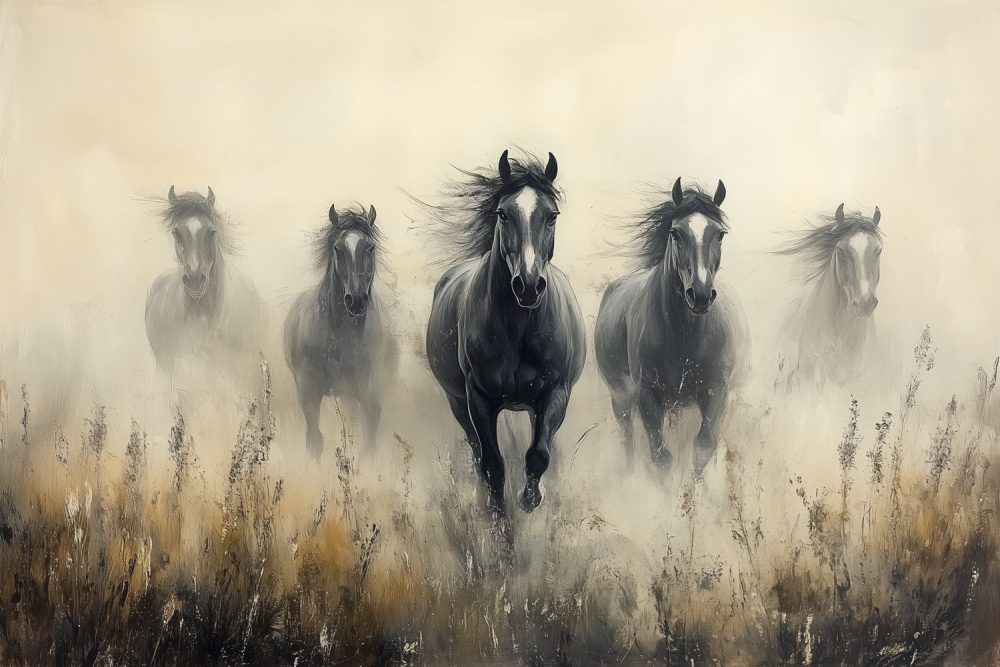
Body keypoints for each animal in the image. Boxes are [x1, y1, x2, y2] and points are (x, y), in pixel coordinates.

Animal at [283, 203, 397, 458]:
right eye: (338, 248)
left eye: (370, 248)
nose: (356, 301)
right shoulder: (309, 392)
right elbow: (314, 439)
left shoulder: (366, 388)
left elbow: (369, 435)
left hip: (349, 393)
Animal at [425, 150, 586, 518]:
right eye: (503, 214)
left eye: (551, 216)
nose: (528, 286)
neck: (518, 329)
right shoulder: (478, 399)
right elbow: (492, 465)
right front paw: (498, 516)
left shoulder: (555, 393)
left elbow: (538, 454)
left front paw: (531, 499)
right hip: (457, 403)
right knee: (476, 451)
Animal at [595, 177, 745, 476]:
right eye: (676, 233)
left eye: (719, 234)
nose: (700, 295)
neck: (684, 338)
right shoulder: (647, 396)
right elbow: (661, 457)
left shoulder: (716, 391)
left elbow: (703, 447)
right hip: (621, 397)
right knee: (628, 438)